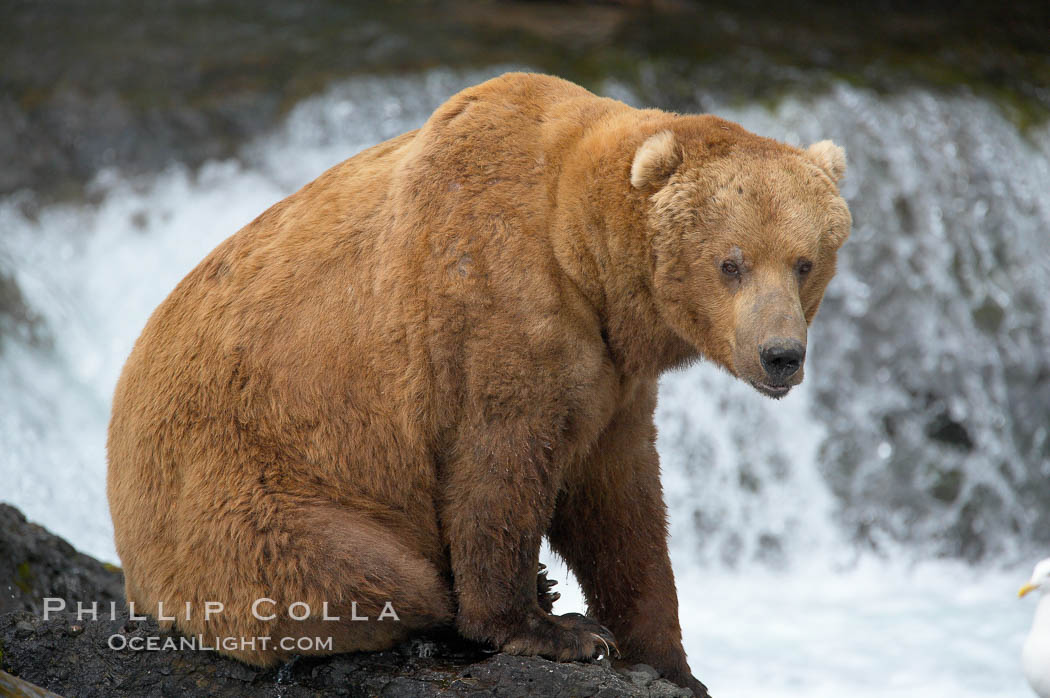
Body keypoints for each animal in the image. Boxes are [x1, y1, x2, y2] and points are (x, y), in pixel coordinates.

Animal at [106, 70, 848, 692]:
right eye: (732, 262)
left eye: (804, 262)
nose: (781, 354)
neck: (584, 261)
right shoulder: (493, 309)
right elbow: (500, 472)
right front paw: (554, 632)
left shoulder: (614, 380)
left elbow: (622, 507)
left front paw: (667, 661)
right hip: (248, 494)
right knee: (365, 576)